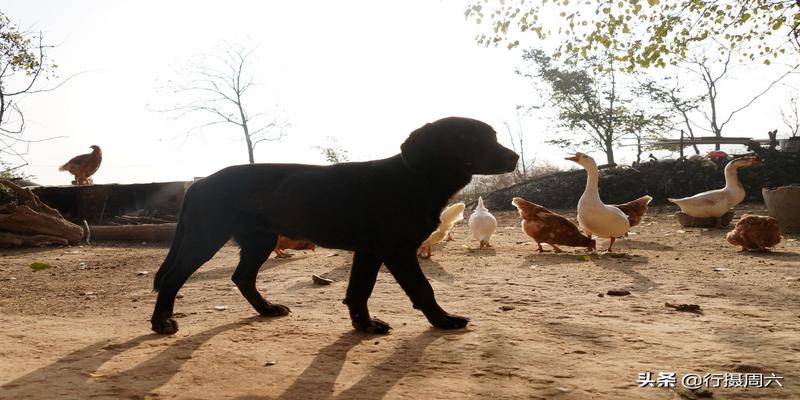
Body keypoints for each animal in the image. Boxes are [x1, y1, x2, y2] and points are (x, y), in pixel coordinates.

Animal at [152, 116, 520, 334]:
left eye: (493, 136)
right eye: (468, 138)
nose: (514, 157)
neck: (415, 180)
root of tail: (198, 183)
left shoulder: (369, 252)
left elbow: (359, 291)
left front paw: (364, 325)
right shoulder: (397, 251)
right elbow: (422, 288)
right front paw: (443, 320)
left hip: (260, 240)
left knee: (242, 276)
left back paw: (266, 309)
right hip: (205, 238)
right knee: (171, 279)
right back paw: (161, 322)